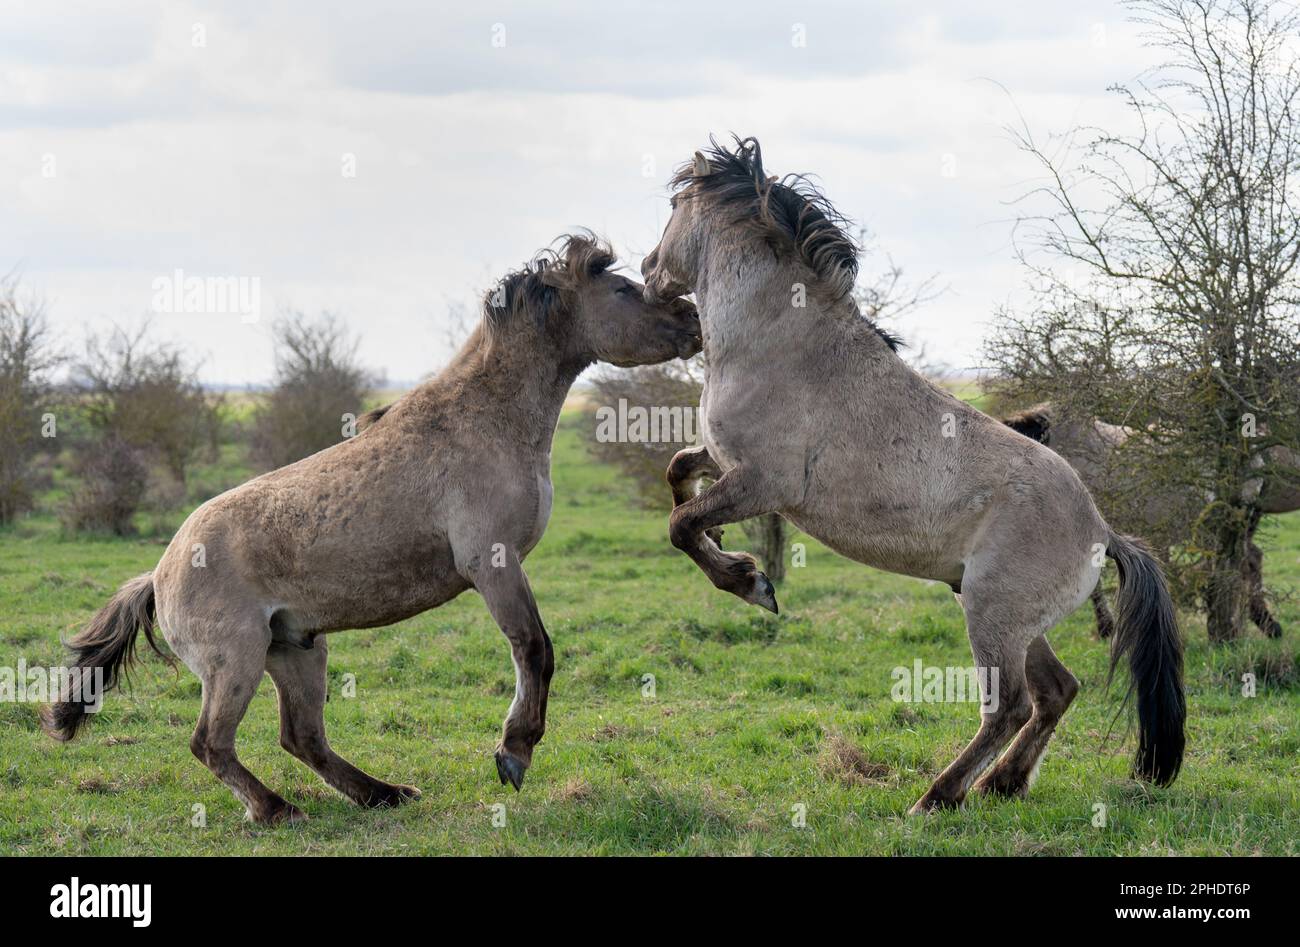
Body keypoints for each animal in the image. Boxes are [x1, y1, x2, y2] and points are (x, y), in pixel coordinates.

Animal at [644, 135, 1185, 811]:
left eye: (673, 207)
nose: (648, 270)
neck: (782, 342)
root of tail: (1103, 531)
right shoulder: (727, 462)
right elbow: (678, 476)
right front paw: (735, 557)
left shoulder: (764, 483)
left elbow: (681, 525)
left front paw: (751, 583)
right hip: (1010, 619)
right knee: (1057, 691)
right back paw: (1003, 784)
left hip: (991, 616)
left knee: (1009, 705)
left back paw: (939, 796)